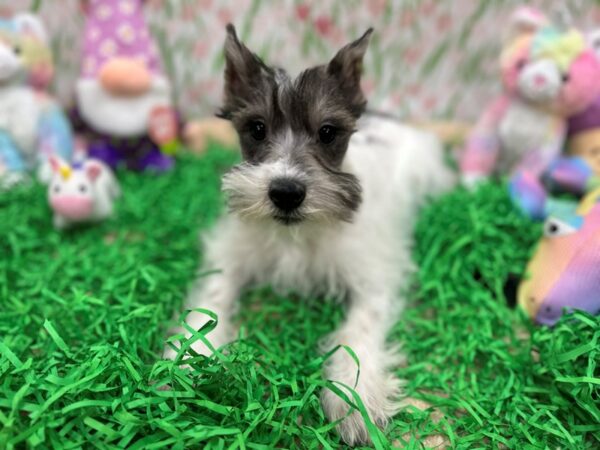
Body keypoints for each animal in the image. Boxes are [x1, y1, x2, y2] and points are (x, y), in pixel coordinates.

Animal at [164, 24, 454, 442]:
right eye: (256, 128)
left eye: (328, 132)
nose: (286, 192)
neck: (297, 236)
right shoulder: (230, 253)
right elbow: (211, 303)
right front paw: (190, 361)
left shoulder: (374, 278)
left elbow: (357, 332)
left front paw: (353, 399)